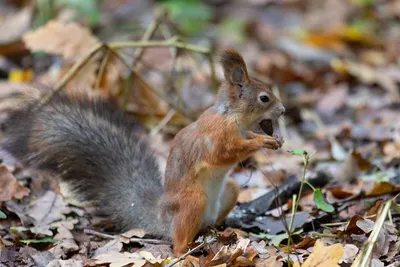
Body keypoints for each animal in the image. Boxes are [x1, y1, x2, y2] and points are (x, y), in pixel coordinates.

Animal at [3, 48, 284, 258]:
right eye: (264, 98)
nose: (282, 110)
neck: (231, 116)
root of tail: (162, 218)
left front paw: (274, 139)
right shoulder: (216, 136)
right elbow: (225, 153)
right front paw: (264, 141)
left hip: (229, 191)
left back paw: (225, 232)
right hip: (193, 201)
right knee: (178, 242)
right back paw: (187, 254)